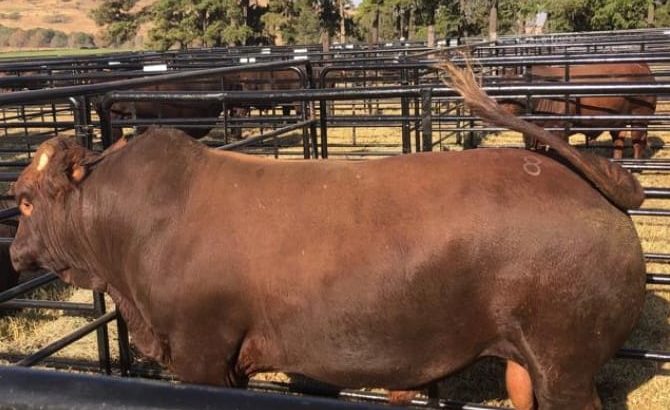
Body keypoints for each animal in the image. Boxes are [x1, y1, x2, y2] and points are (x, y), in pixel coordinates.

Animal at [499, 63, 656, 159]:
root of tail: (644, 67)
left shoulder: (559, 129)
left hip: (640, 116)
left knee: (638, 141)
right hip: (619, 121)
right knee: (619, 140)